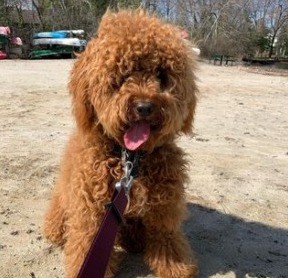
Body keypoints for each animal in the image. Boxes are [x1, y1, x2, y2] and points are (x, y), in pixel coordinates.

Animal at [44, 8, 199, 278]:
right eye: (122, 75)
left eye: (161, 75)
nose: (144, 106)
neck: (131, 158)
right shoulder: (93, 211)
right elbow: (85, 245)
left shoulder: (164, 210)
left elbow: (167, 240)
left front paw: (176, 269)